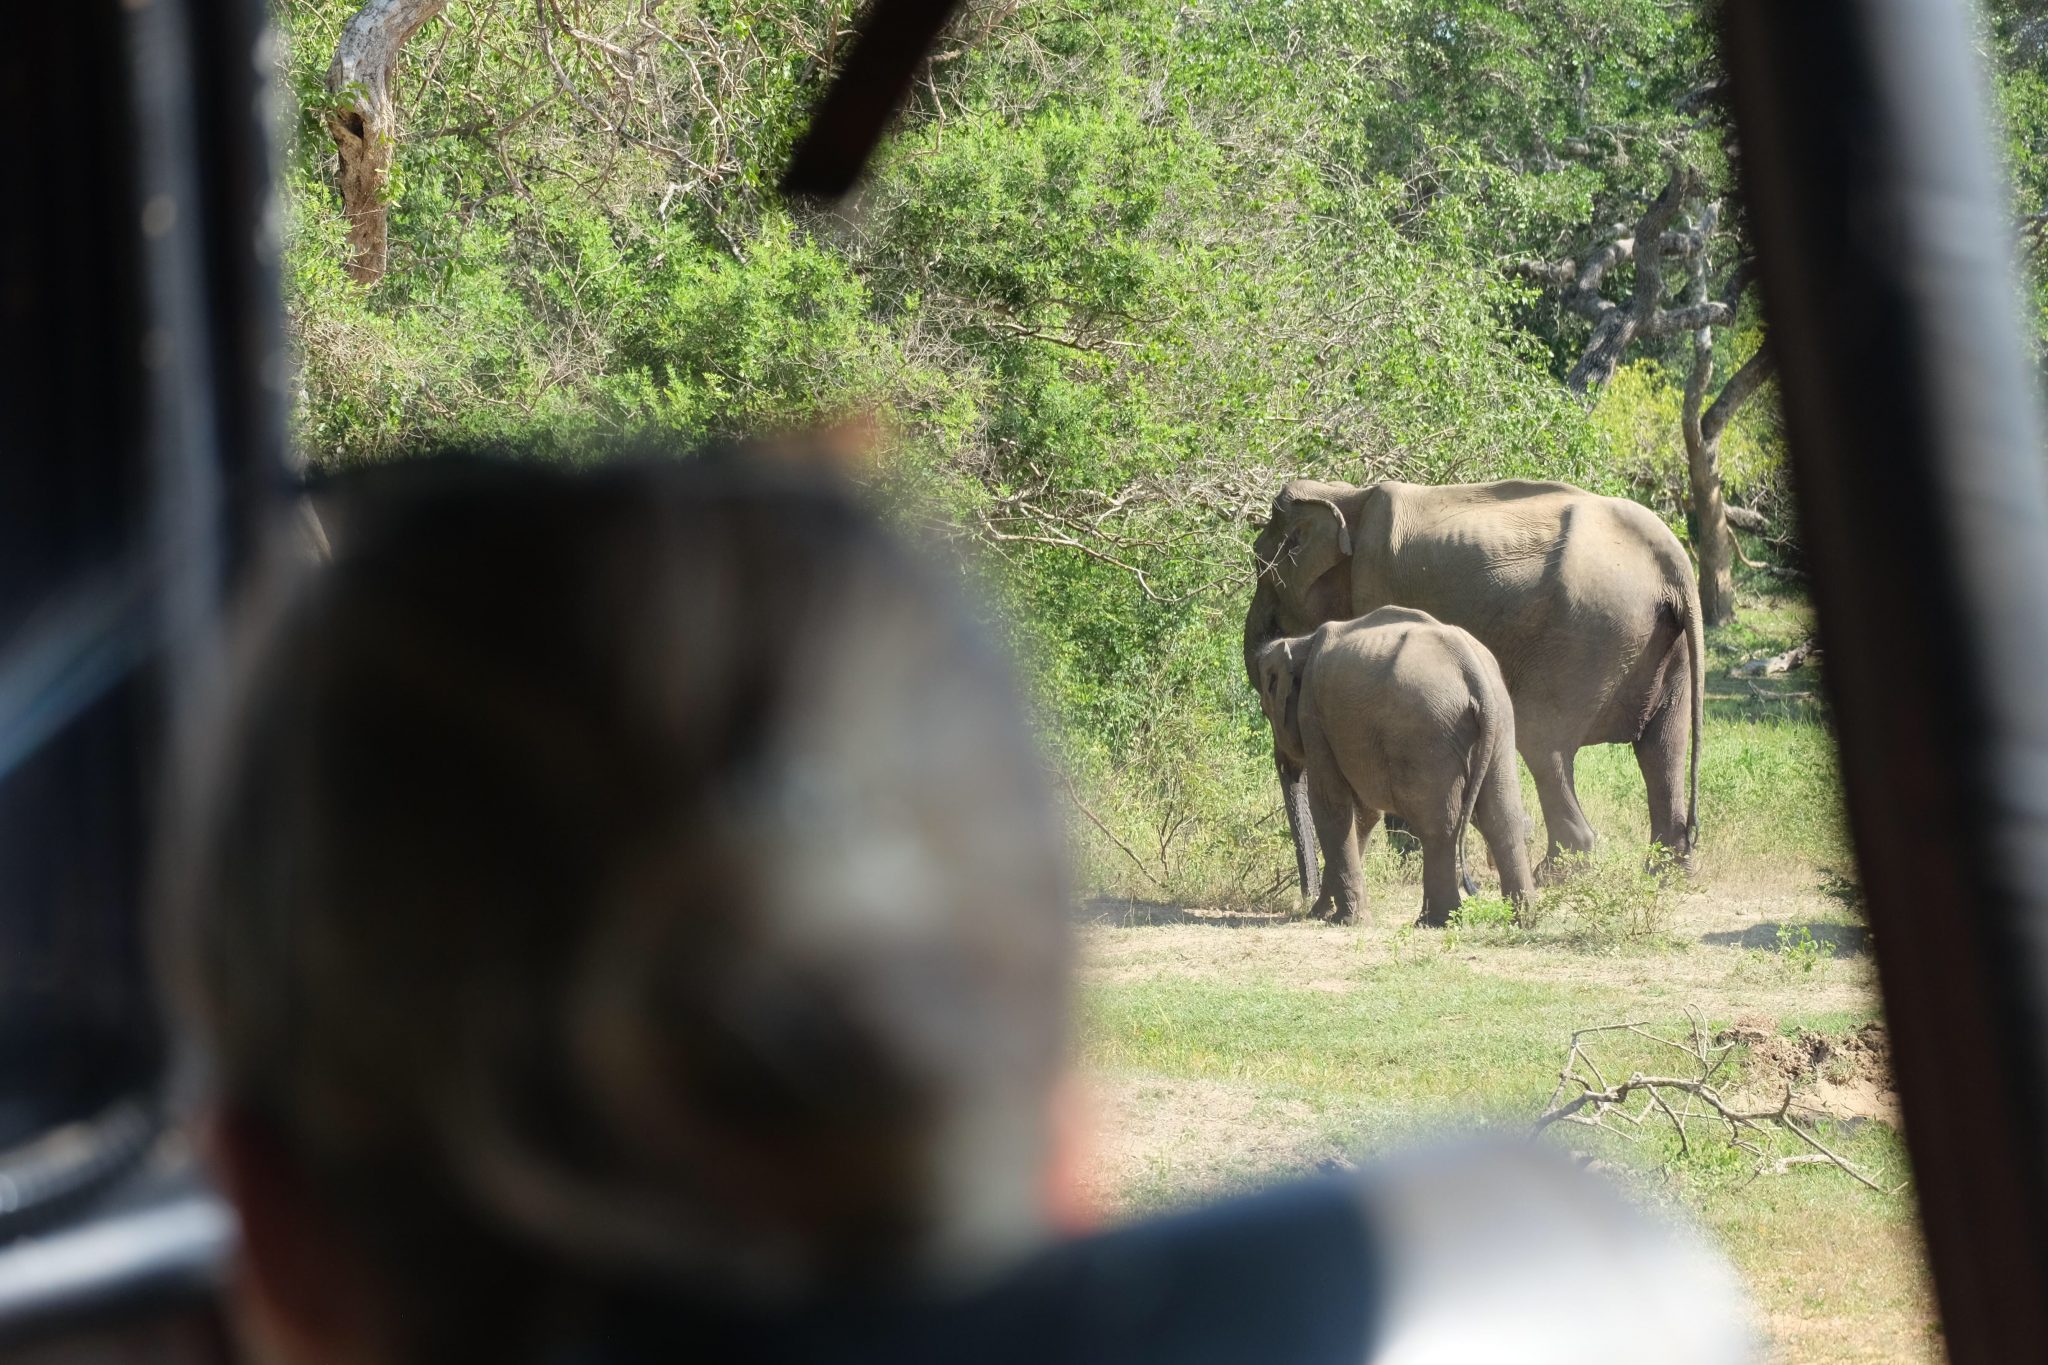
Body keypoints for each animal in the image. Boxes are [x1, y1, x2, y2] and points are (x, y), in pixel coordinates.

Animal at [1245, 609, 1540, 929]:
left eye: (1265, 710)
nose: (1305, 907)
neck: (1301, 642)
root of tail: (1473, 669)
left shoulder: (1313, 716)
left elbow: (1330, 805)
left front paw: (1344, 920)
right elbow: (1364, 814)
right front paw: (1325, 914)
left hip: (1426, 730)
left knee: (1437, 822)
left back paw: (1434, 921)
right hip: (1499, 724)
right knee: (1501, 815)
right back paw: (1522, 919)